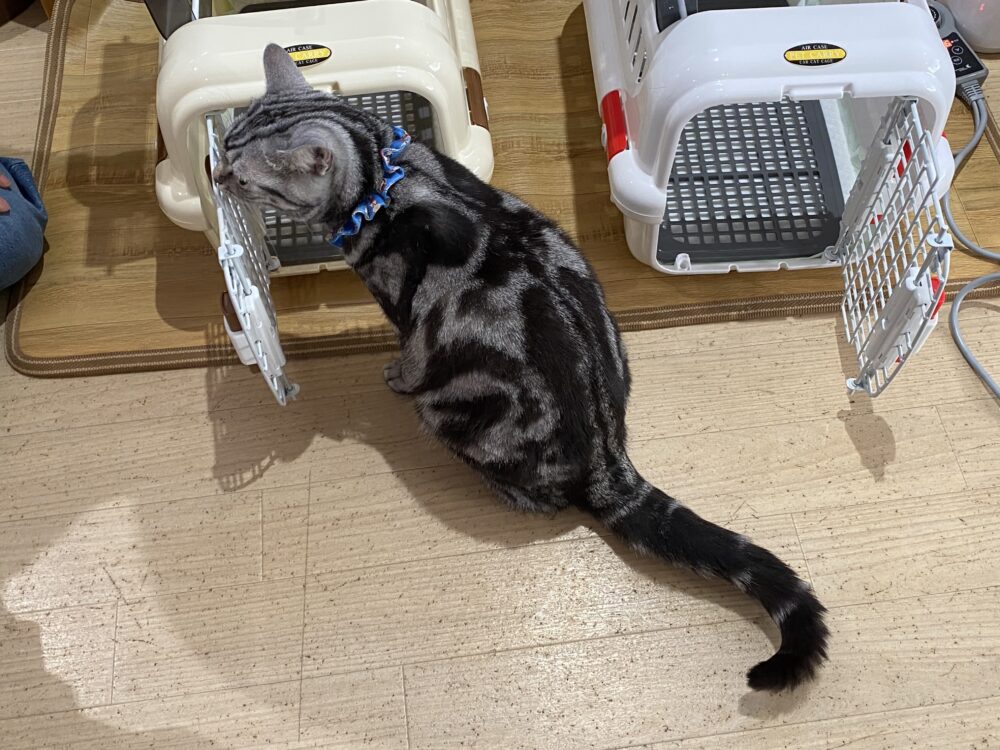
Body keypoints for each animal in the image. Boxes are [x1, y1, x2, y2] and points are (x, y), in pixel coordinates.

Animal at [214, 43, 829, 692]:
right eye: (224, 146)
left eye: (244, 175)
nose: (216, 174)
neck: (383, 170)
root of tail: (611, 459)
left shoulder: (406, 316)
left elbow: (407, 357)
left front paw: (392, 376)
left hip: (451, 417)